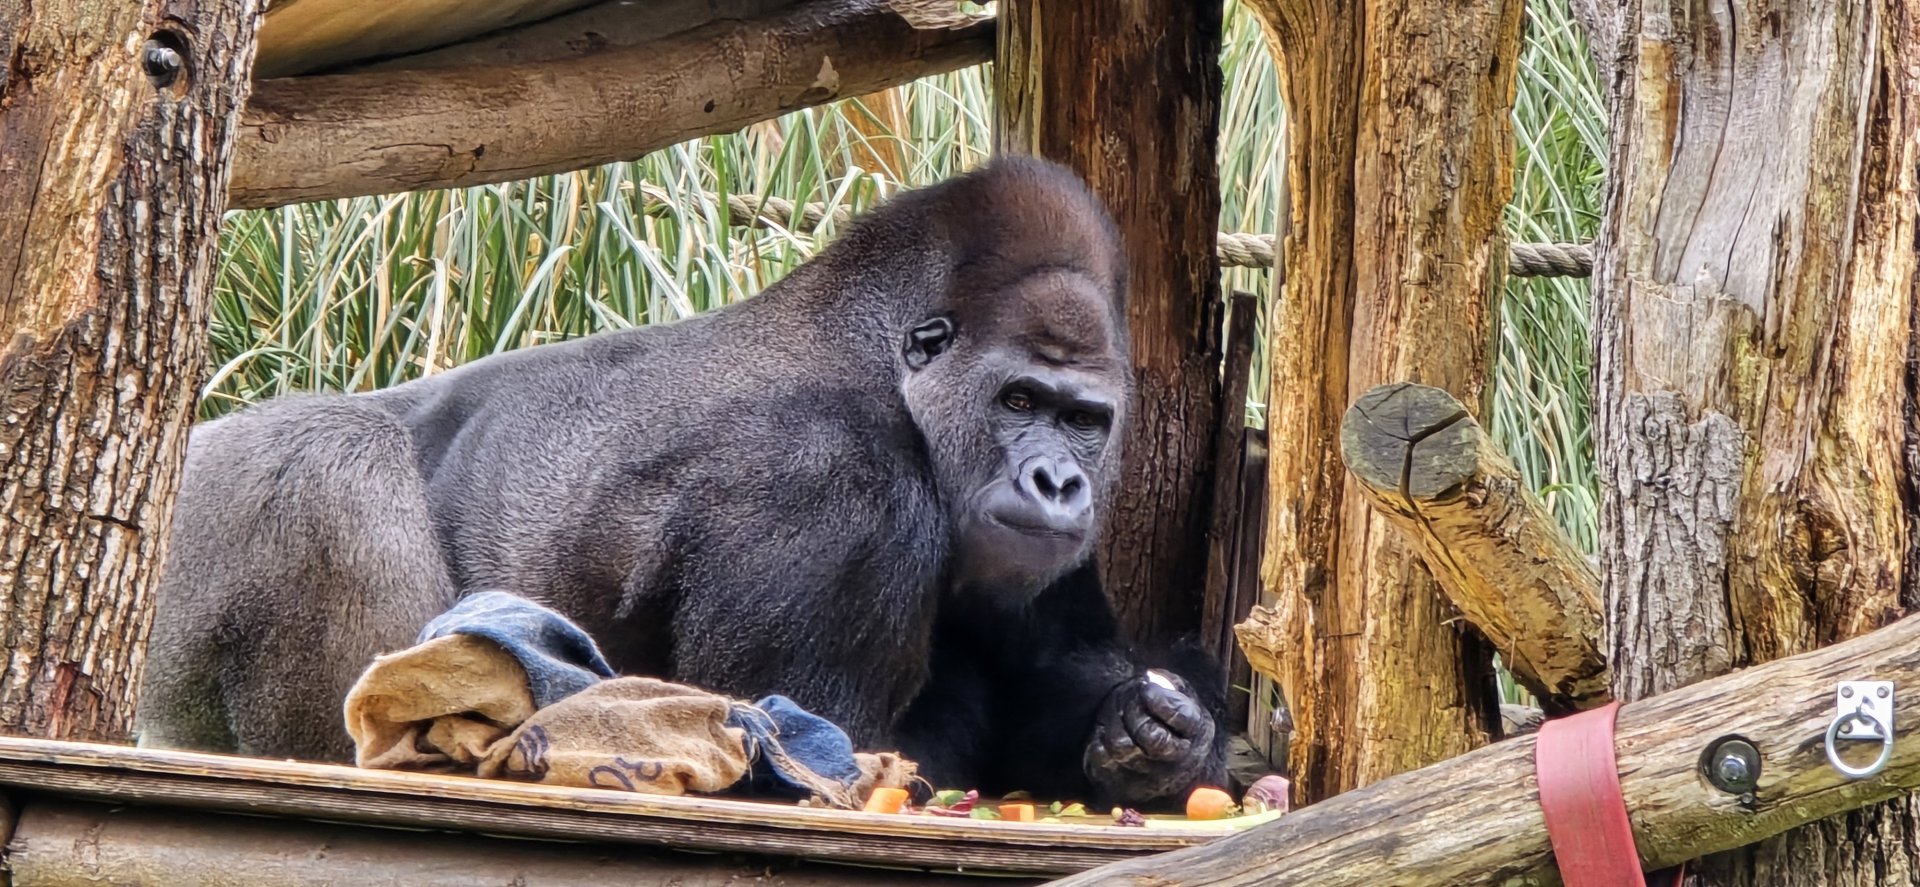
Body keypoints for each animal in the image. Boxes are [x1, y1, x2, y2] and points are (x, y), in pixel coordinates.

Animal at [134, 156, 1229, 808]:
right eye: (1017, 399)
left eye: (1082, 420)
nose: (1056, 481)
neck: (880, 361)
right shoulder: (834, 491)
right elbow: (830, 755)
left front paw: (1152, 737)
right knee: (327, 455)